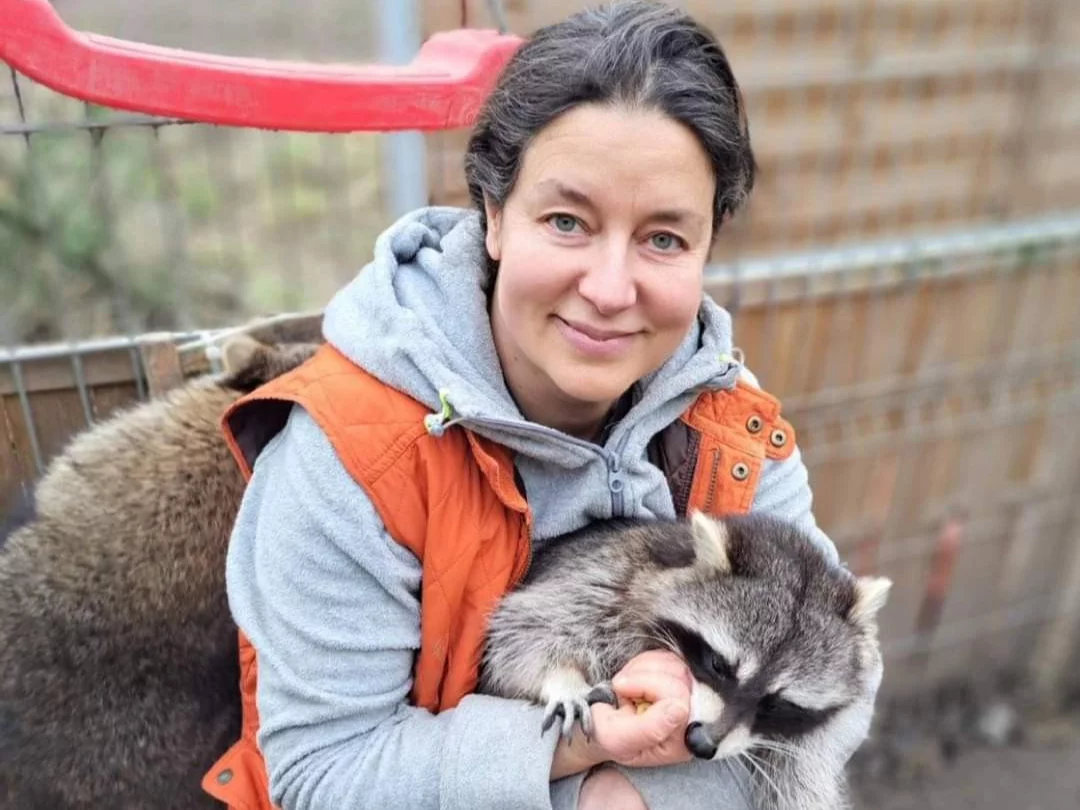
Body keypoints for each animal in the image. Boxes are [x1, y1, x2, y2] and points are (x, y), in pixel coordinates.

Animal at [477, 514, 889, 810]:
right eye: (720, 666)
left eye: (775, 703)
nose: (703, 744)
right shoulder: (603, 577)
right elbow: (525, 629)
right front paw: (562, 678)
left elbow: (799, 773)